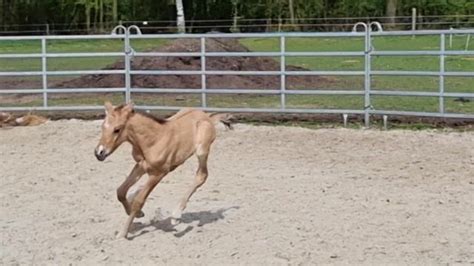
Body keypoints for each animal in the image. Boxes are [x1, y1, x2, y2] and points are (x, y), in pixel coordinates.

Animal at [93, 102, 231, 239]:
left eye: (117, 129)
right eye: (103, 126)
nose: (99, 153)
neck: (153, 140)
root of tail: (207, 116)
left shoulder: (158, 174)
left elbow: (139, 201)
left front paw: (123, 233)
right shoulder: (140, 166)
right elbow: (120, 191)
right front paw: (138, 214)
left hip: (201, 150)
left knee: (202, 175)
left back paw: (176, 215)